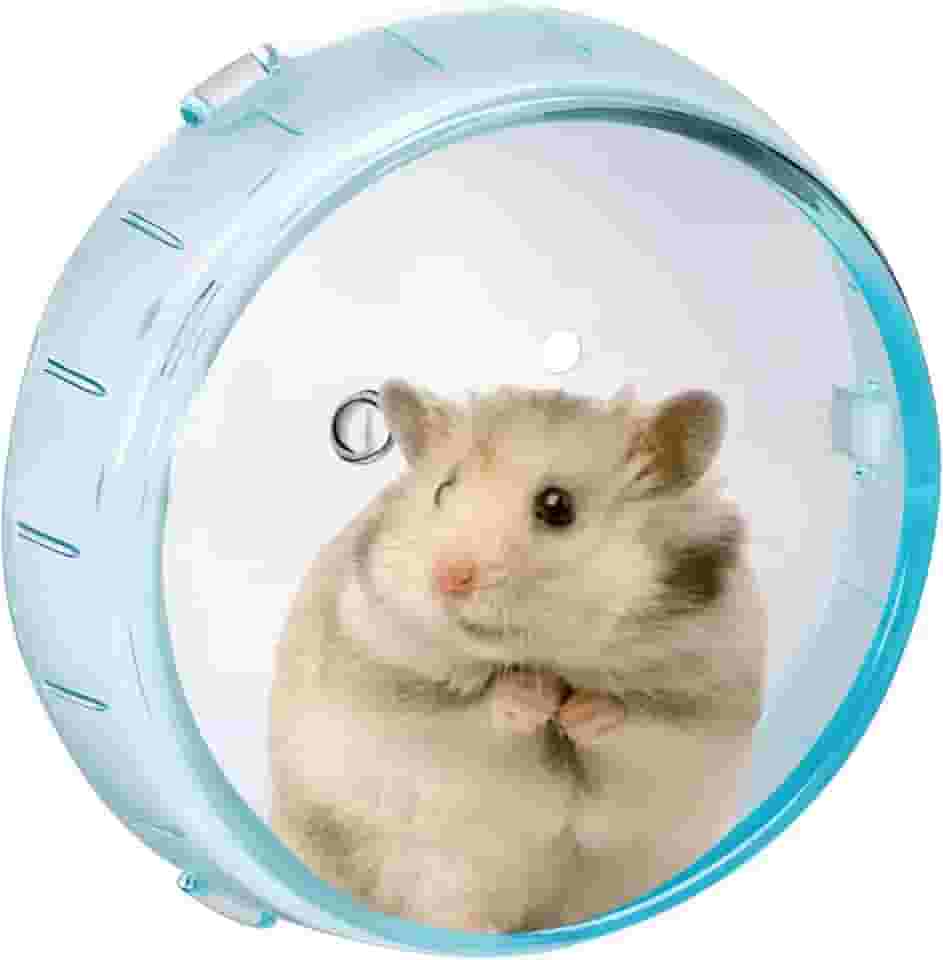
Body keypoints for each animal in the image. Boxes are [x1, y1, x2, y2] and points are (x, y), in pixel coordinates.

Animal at [269, 380, 766, 932]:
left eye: (556, 505)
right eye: (443, 490)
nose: (448, 578)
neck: (549, 657)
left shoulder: (696, 723)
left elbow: (628, 723)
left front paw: (577, 711)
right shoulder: (408, 708)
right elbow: (485, 710)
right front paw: (536, 695)